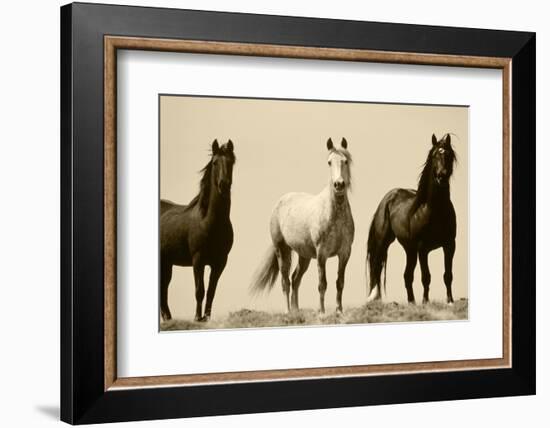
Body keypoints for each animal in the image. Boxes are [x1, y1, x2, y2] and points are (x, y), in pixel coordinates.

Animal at [161, 140, 236, 320]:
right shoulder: (198, 260)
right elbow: (199, 291)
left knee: (164, 288)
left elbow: (211, 292)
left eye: (231, 162)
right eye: (215, 162)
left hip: (166, 263)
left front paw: (206, 318)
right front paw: (197, 318)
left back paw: (168, 318)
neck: (209, 221)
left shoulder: (220, 262)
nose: (224, 185)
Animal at [251, 139, 356, 312]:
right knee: (285, 281)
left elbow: (340, 282)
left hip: (304, 256)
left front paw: (339, 310)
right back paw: (288, 311)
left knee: (295, 279)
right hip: (282, 250)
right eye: (329, 162)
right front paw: (322, 312)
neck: (334, 215)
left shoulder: (345, 253)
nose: (339, 185)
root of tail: (280, 202)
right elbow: (322, 284)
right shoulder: (321, 254)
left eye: (345, 161)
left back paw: (296, 311)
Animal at [366, 134, 462, 304]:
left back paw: (411, 302)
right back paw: (375, 298)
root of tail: (388, 198)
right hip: (384, 242)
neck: (434, 210)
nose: (442, 176)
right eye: (434, 155)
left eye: (449, 155)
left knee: (407, 275)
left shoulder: (450, 245)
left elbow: (448, 275)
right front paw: (425, 302)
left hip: (410, 249)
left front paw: (450, 301)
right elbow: (426, 277)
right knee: (377, 267)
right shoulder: (423, 248)